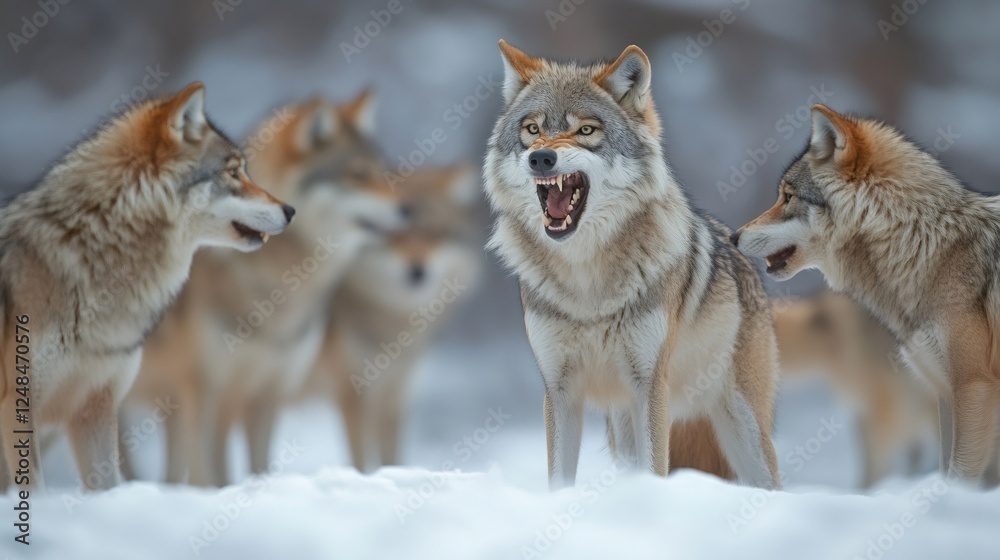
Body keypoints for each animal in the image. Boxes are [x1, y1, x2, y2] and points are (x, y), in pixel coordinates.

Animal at [123, 91, 407, 485]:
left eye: (381, 171)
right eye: (358, 175)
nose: (409, 209)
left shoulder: (266, 393)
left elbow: (257, 466)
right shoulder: (206, 391)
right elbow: (209, 475)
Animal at [483, 41, 780, 489]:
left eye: (586, 131)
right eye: (532, 130)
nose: (541, 158)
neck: (586, 282)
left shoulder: (649, 386)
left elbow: (656, 469)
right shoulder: (559, 390)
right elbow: (558, 479)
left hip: (743, 429)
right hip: (622, 427)